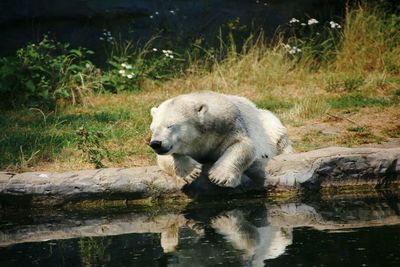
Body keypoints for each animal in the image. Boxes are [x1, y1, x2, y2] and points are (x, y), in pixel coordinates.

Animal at [148, 92, 292, 188]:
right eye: (152, 128)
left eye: (170, 125)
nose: (155, 143)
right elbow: (164, 158)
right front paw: (189, 173)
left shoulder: (229, 126)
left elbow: (243, 145)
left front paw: (220, 177)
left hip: (270, 124)